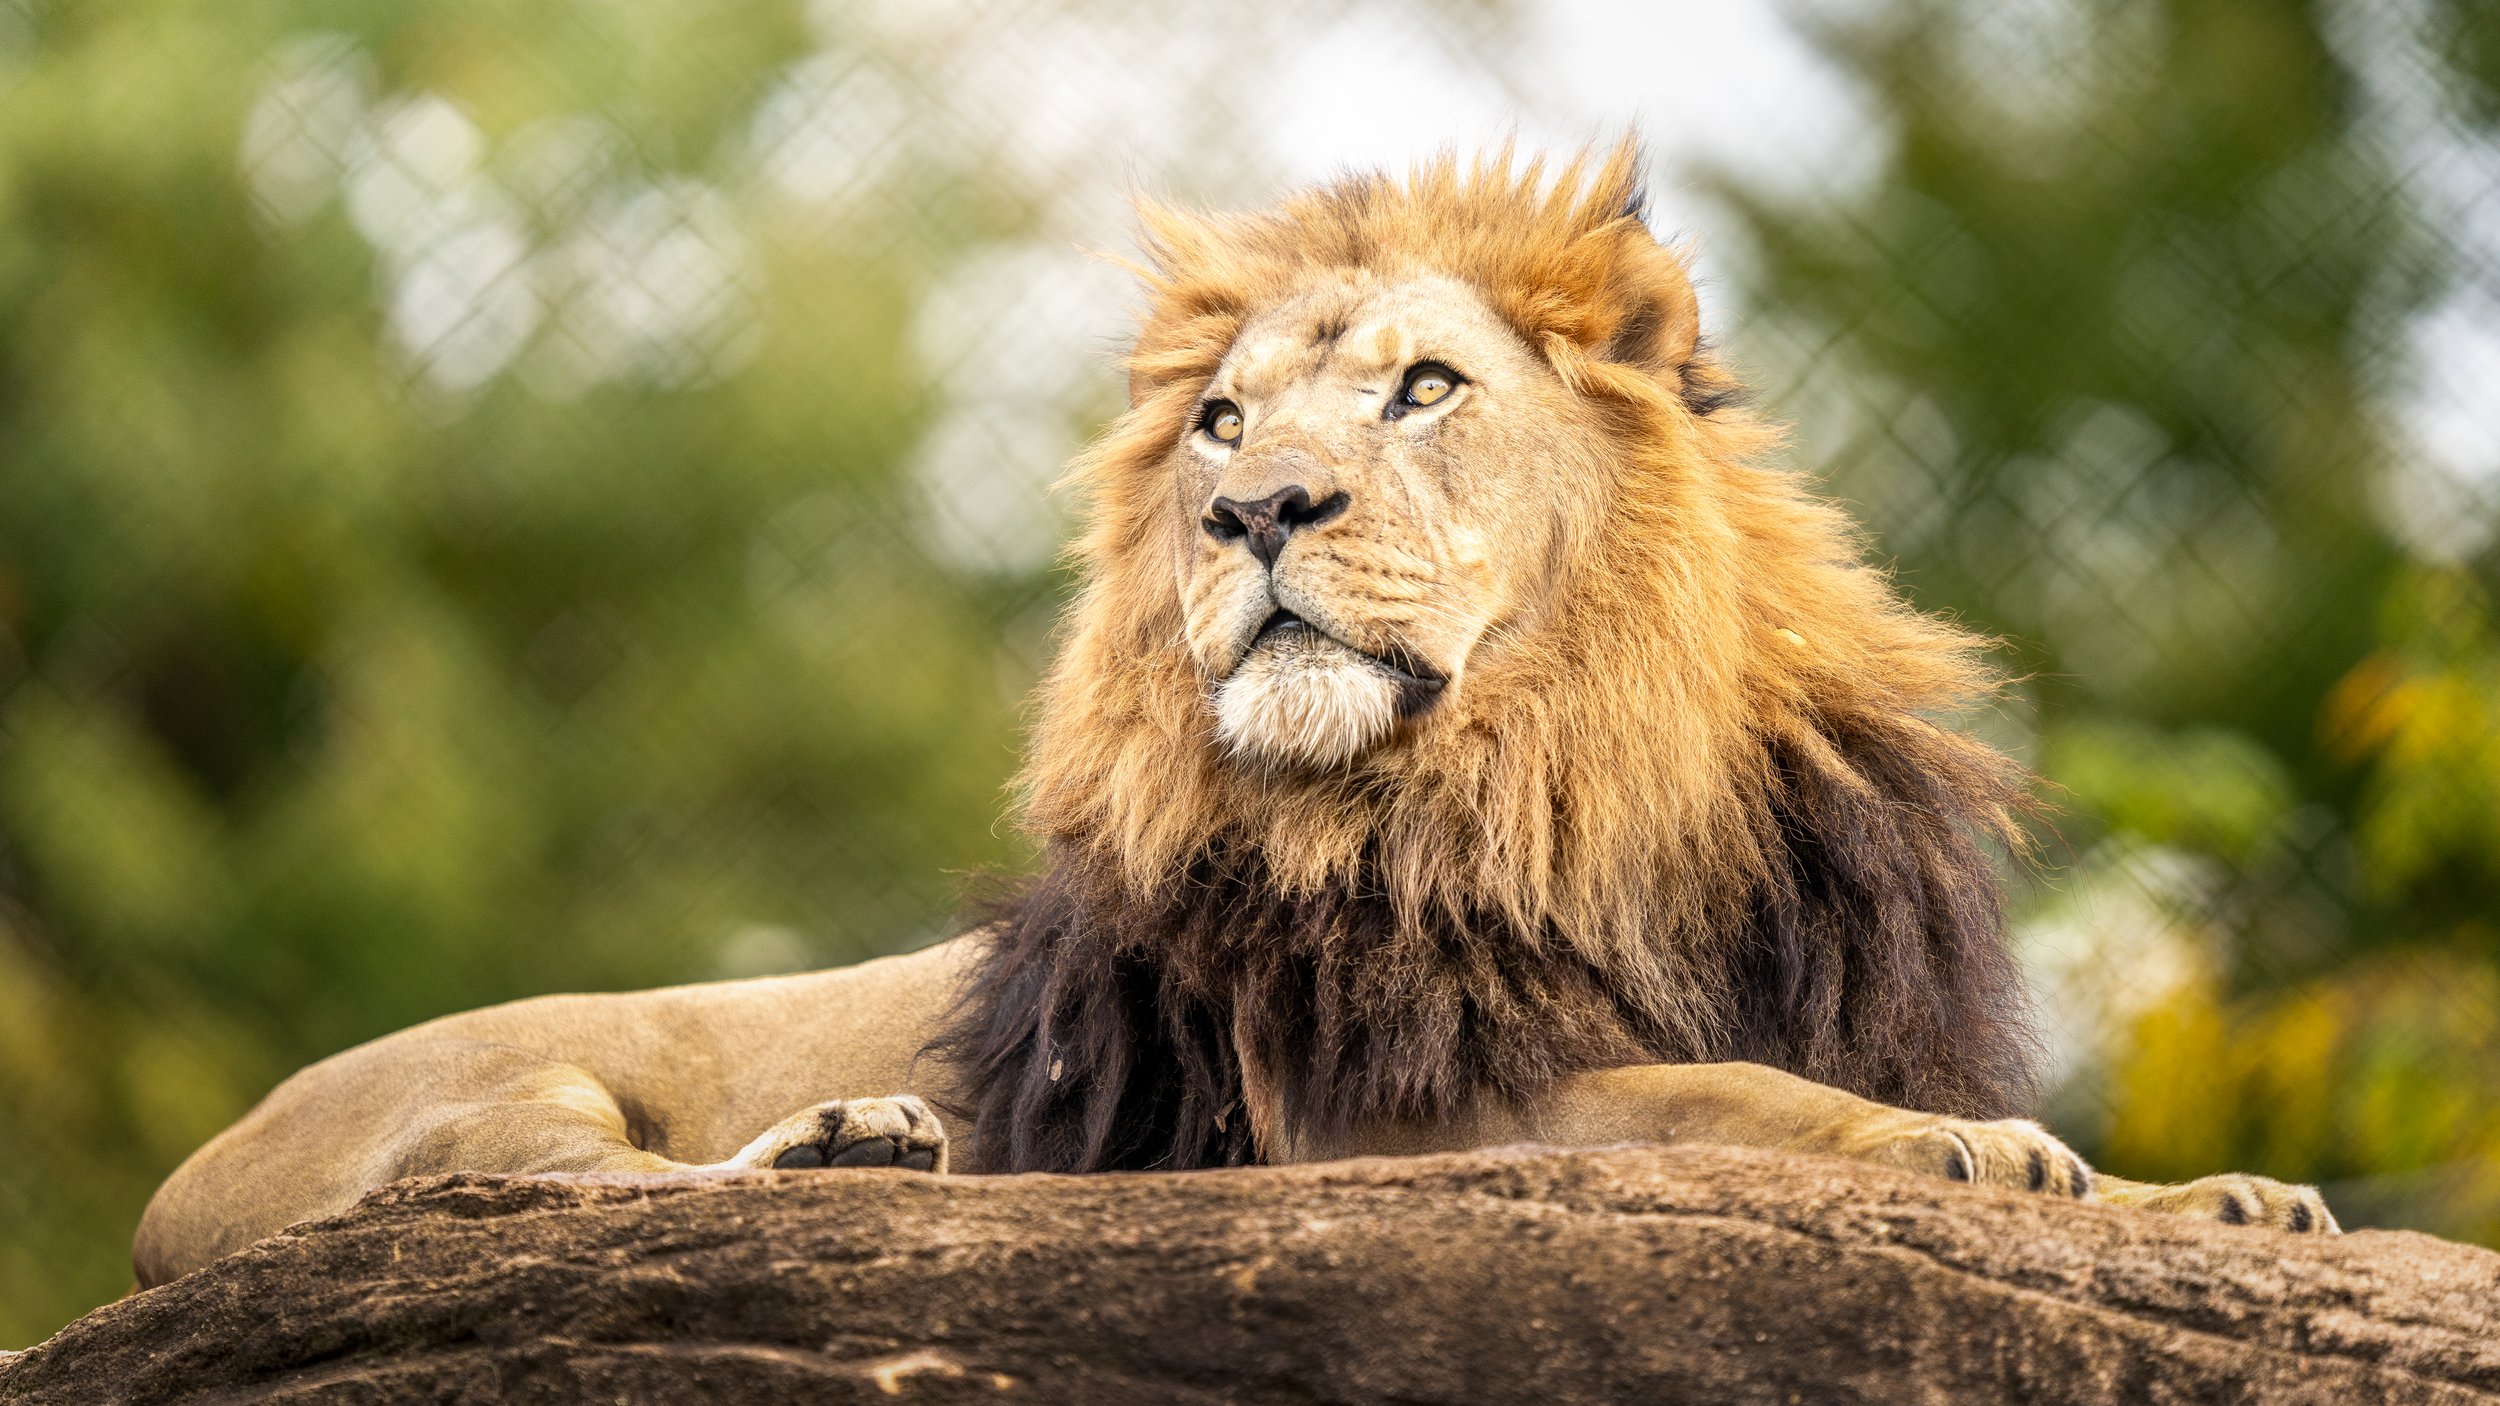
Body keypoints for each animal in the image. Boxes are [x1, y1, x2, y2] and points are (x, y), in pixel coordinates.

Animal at [133, 144, 2334, 1289]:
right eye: (1217, 417)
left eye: (1423, 387)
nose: (1253, 507)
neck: (1549, 782)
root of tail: (174, 1189)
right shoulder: (1412, 1115)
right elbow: (1736, 1103)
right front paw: (1963, 1153)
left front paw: (2206, 1198)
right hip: (506, 1092)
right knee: (515, 1191)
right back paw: (848, 1145)